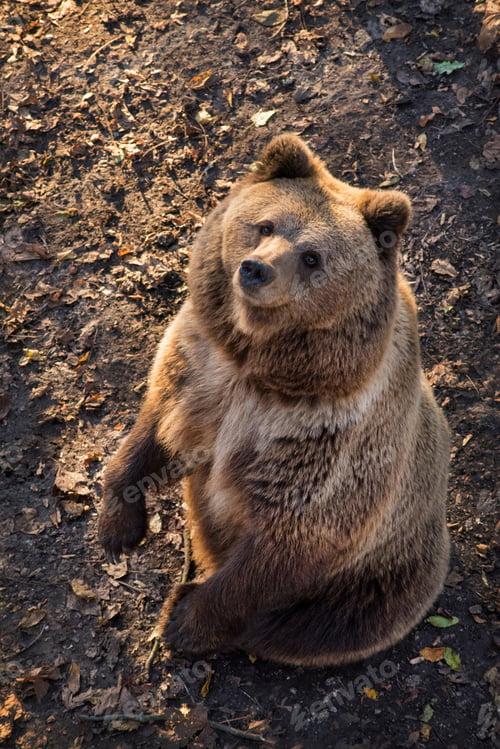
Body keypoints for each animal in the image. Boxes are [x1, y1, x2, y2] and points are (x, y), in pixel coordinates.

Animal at [98, 134, 450, 667]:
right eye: (264, 225)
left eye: (312, 257)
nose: (255, 269)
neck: (261, 365)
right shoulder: (199, 363)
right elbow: (155, 424)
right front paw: (118, 527)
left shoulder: (324, 441)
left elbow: (284, 543)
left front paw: (184, 619)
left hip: (384, 576)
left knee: (322, 624)